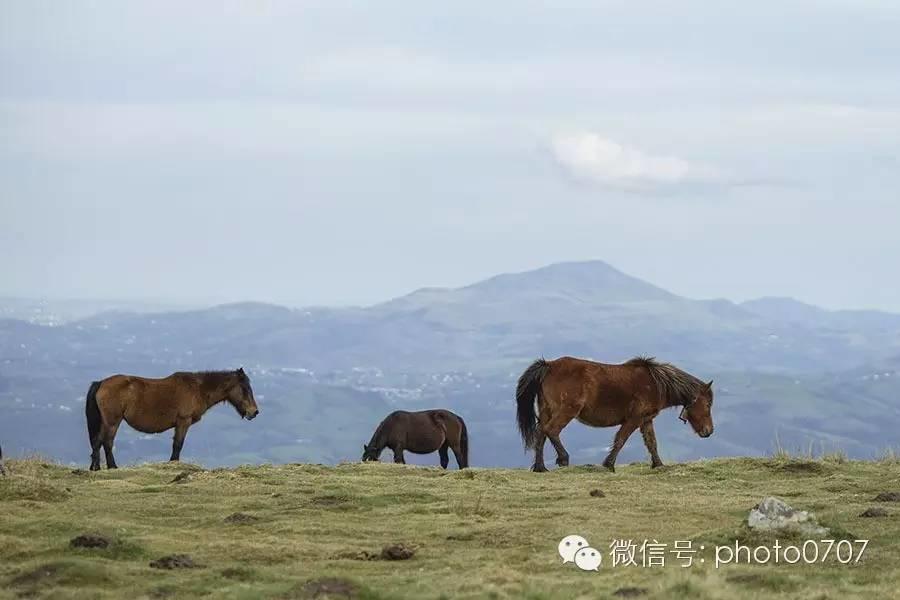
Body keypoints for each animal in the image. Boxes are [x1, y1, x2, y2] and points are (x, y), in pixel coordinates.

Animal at [85, 368, 258, 472]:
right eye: (245, 388)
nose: (254, 412)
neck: (198, 389)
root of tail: (101, 383)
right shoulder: (183, 422)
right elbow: (178, 445)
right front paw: (174, 464)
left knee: (98, 442)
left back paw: (96, 467)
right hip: (113, 421)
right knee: (106, 442)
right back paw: (111, 467)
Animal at [516, 356, 712, 474]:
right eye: (708, 404)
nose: (709, 431)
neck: (656, 384)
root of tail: (549, 365)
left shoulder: (646, 420)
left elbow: (652, 443)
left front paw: (658, 465)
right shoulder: (634, 420)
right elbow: (620, 440)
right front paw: (608, 465)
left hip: (546, 410)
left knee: (541, 433)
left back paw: (540, 468)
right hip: (567, 411)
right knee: (552, 430)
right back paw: (563, 459)